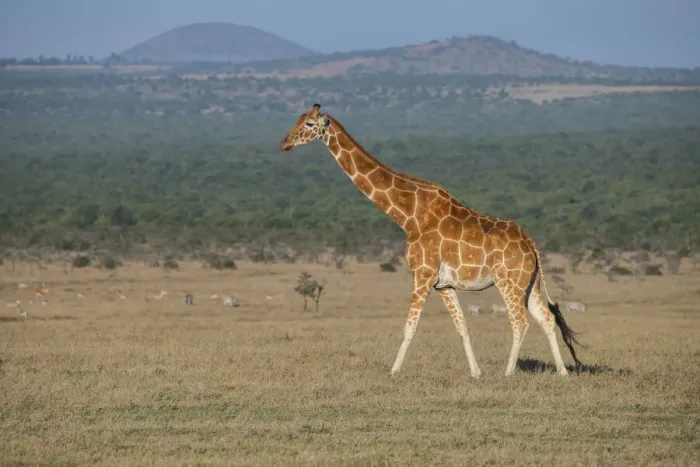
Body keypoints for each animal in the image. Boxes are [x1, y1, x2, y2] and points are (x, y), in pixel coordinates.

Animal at [280, 104, 584, 377]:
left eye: (309, 123)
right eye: (298, 118)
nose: (285, 143)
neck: (408, 216)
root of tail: (531, 244)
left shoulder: (422, 274)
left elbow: (409, 326)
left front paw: (393, 372)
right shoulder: (444, 285)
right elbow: (462, 327)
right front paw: (475, 372)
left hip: (508, 281)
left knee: (520, 322)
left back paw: (508, 372)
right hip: (529, 283)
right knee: (546, 318)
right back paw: (562, 372)